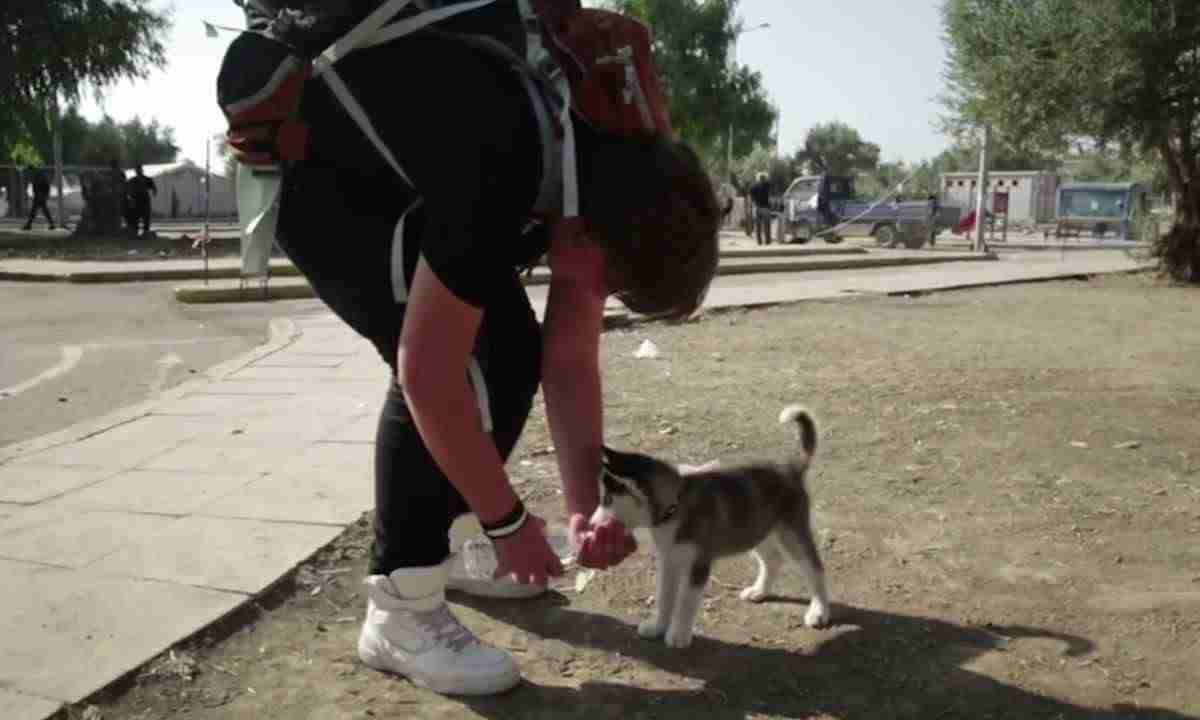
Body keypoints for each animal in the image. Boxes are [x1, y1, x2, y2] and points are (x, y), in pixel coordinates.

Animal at [592, 405, 835, 648]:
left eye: (607, 500)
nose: (591, 523)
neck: (674, 507)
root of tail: (791, 467)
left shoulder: (698, 563)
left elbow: (685, 602)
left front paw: (678, 634)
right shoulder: (669, 560)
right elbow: (664, 597)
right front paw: (658, 626)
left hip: (791, 532)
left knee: (814, 567)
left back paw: (819, 611)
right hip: (754, 527)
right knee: (773, 559)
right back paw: (759, 591)